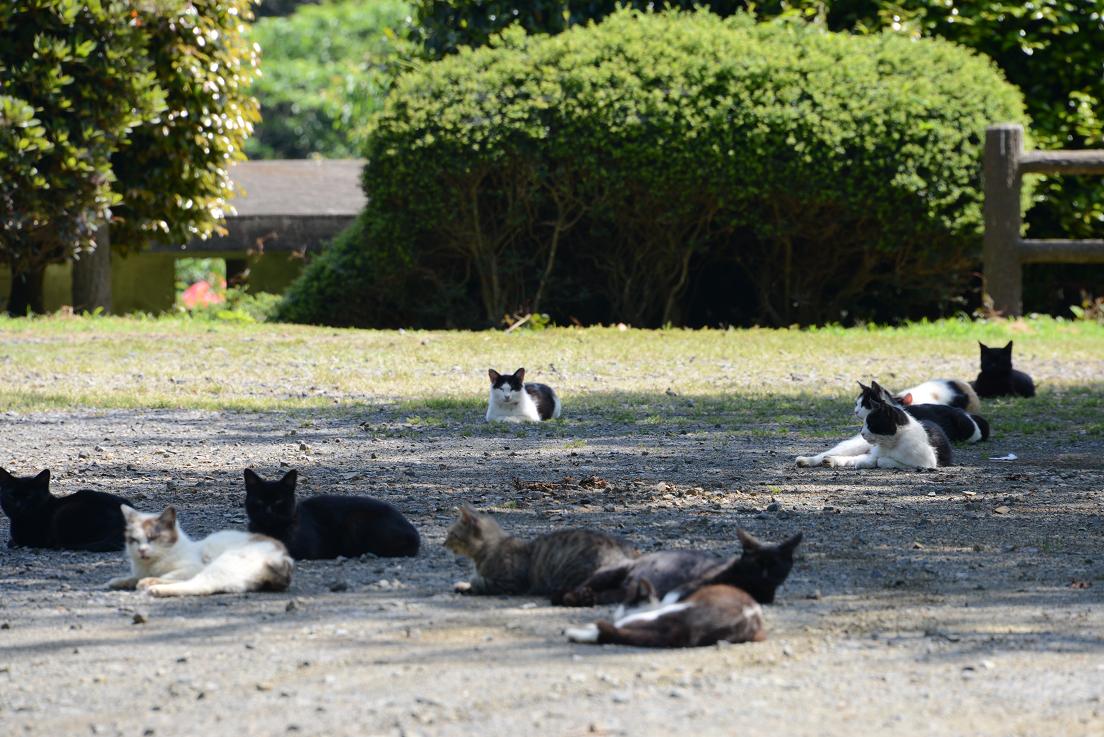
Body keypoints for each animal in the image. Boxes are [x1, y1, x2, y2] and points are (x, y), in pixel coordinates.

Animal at [106, 505, 293, 597]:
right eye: (134, 540)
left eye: (152, 538)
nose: (142, 550)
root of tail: (283, 556)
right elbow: (134, 577)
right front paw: (119, 581)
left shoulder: (192, 568)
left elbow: (167, 575)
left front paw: (148, 581)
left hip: (220, 564)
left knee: (200, 585)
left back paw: (156, 589)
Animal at [444, 505, 638, 601]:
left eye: (451, 533)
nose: (443, 543)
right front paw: (463, 585)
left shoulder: (512, 582)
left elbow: (480, 581)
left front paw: (470, 583)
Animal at [560, 529, 802, 607]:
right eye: (755, 564)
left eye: (774, 566)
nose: (764, 575)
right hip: (613, 572)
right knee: (570, 592)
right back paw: (576, 595)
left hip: (615, 593)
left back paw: (586, 598)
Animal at [817, 397, 952, 469]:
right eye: (864, 423)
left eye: (871, 425)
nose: (862, 432)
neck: (891, 444)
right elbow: (859, 459)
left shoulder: (925, 463)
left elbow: (882, 460)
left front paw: (875, 462)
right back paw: (816, 460)